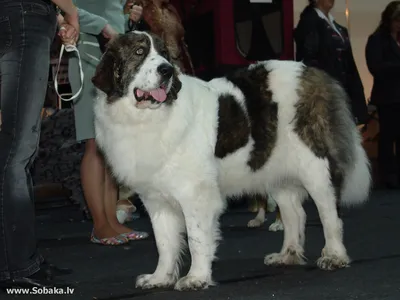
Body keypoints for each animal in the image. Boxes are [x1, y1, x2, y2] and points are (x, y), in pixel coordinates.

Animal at [91, 32, 372, 290]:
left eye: (165, 55)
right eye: (139, 52)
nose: (167, 70)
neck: (147, 118)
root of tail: (314, 74)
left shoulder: (196, 194)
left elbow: (196, 238)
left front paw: (196, 278)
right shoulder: (155, 198)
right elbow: (164, 242)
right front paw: (160, 278)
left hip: (316, 168)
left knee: (330, 215)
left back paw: (334, 256)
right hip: (276, 170)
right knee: (295, 213)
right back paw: (288, 255)